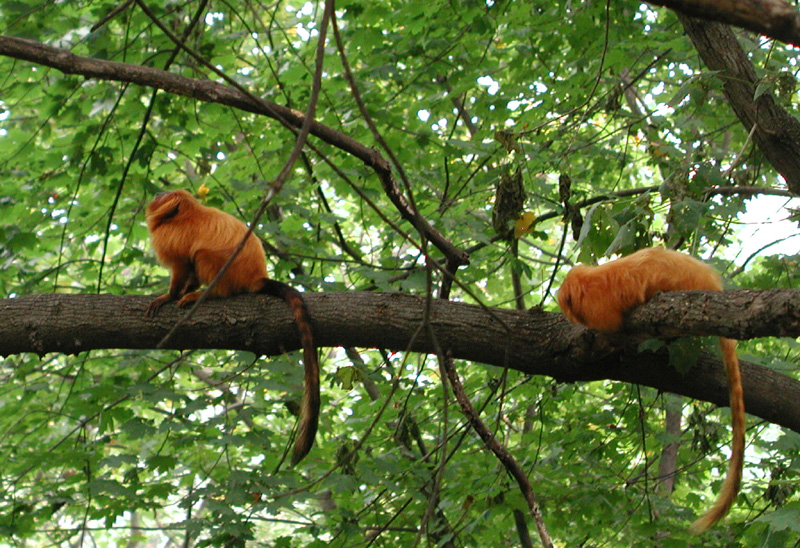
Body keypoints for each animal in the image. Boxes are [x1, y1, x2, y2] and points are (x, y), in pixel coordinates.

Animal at [145, 191, 320, 464]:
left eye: (163, 195)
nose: (157, 194)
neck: (181, 216)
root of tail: (256, 277)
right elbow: (190, 271)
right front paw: (183, 291)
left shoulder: (173, 238)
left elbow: (184, 264)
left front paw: (170, 296)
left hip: (226, 273)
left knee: (203, 255)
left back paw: (208, 294)